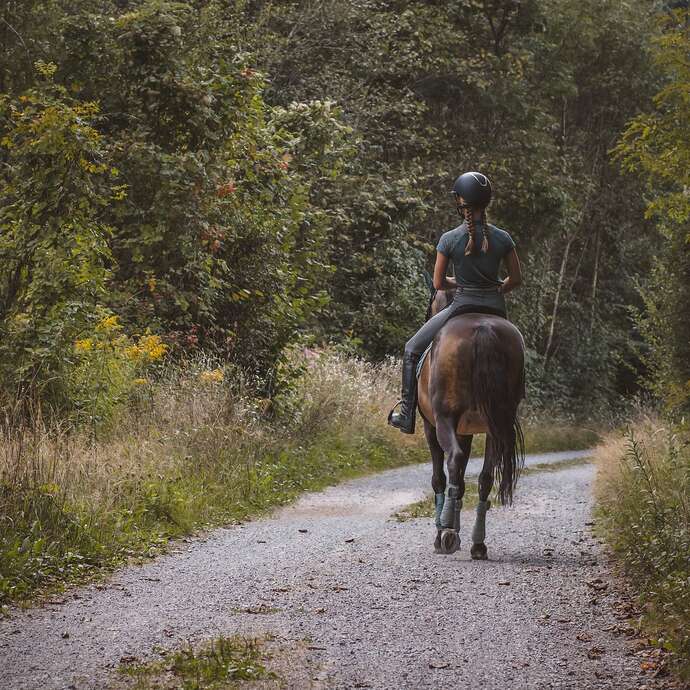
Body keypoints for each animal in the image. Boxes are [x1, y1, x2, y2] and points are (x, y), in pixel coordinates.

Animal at [416, 288, 524, 556]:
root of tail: (483, 329)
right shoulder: (466, 432)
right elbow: (464, 481)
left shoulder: (431, 427)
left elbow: (439, 478)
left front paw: (442, 532)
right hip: (497, 426)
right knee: (485, 478)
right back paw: (478, 543)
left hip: (443, 421)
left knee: (453, 461)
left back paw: (446, 533)